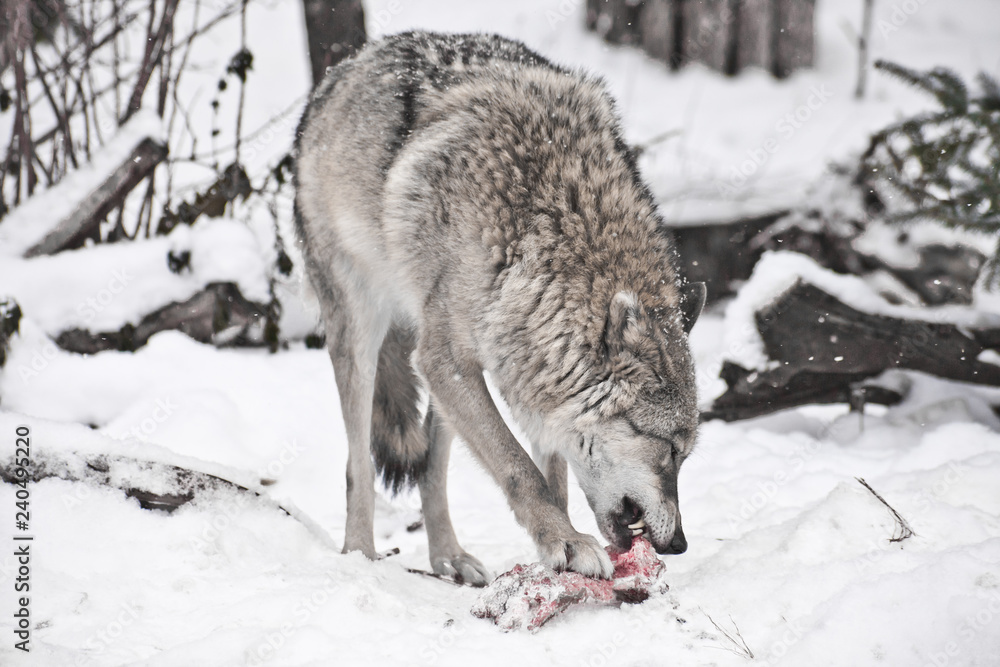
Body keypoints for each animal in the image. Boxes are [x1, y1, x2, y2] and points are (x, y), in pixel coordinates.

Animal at [294, 31, 705, 585]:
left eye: (684, 455)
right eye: (670, 450)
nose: (679, 544)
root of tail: (345, 66)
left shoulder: (521, 366)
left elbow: (551, 475)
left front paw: (559, 546)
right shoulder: (449, 359)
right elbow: (518, 467)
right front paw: (566, 542)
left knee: (430, 468)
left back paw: (449, 557)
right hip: (364, 333)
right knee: (357, 464)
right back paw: (360, 554)